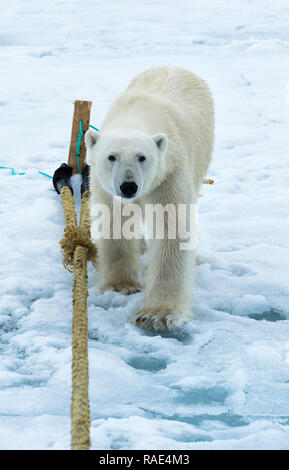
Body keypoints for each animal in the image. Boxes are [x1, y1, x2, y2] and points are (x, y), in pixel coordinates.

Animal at [84, 66, 213, 330]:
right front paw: (121, 285)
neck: (137, 114)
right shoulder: (105, 186)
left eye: (142, 157)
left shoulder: (169, 173)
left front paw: (156, 314)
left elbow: (172, 231)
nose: (128, 186)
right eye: (111, 156)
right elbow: (115, 221)